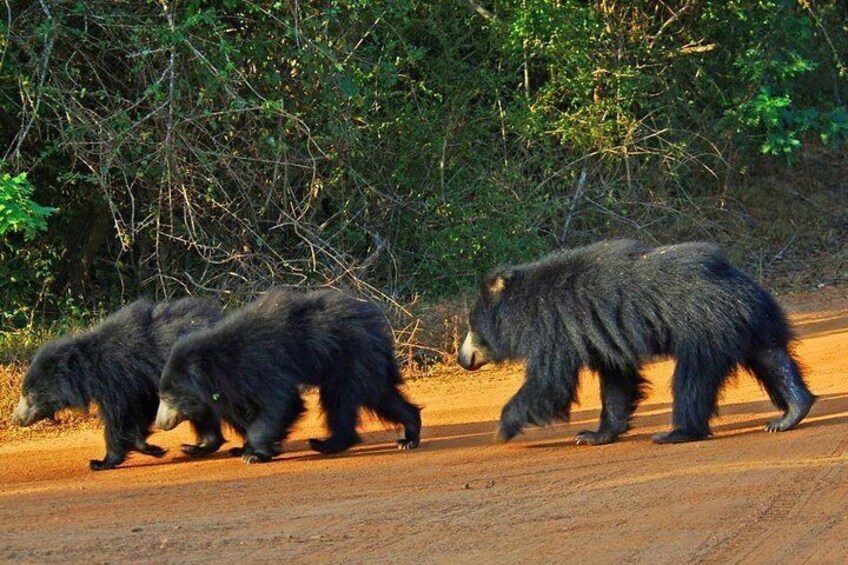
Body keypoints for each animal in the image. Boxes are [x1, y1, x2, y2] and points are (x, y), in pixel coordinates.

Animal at [12, 298, 225, 470]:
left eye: (29, 395)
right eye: (24, 392)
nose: (15, 419)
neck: (88, 368)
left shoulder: (118, 379)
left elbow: (120, 417)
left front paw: (101, 462)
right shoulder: (139, 385)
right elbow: (140, 412)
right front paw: (151, 448)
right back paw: (197, 447)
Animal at [155, 286, 420, 462]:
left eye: (167, 398)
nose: (160, 423)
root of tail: (375, 324)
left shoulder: (262, 366)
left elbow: (282, 403)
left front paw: (254, 454)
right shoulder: (235, 385)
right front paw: (236, 448)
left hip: (350, 357)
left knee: (341, 400)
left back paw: (328, 443)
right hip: (360, 361)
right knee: (380, 395)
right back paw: (408, 436)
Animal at [458, 238, 816, 446]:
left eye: (473, 328)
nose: (463, 359)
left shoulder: (553, 329)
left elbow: (550, 382)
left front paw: (502, 429)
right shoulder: (598, 336)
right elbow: (617, 380)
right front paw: (593, 435)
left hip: (705, 327)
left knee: (692, 379)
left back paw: (675, 433)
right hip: (751, 321)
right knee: (772, 357)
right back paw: (790, 414)